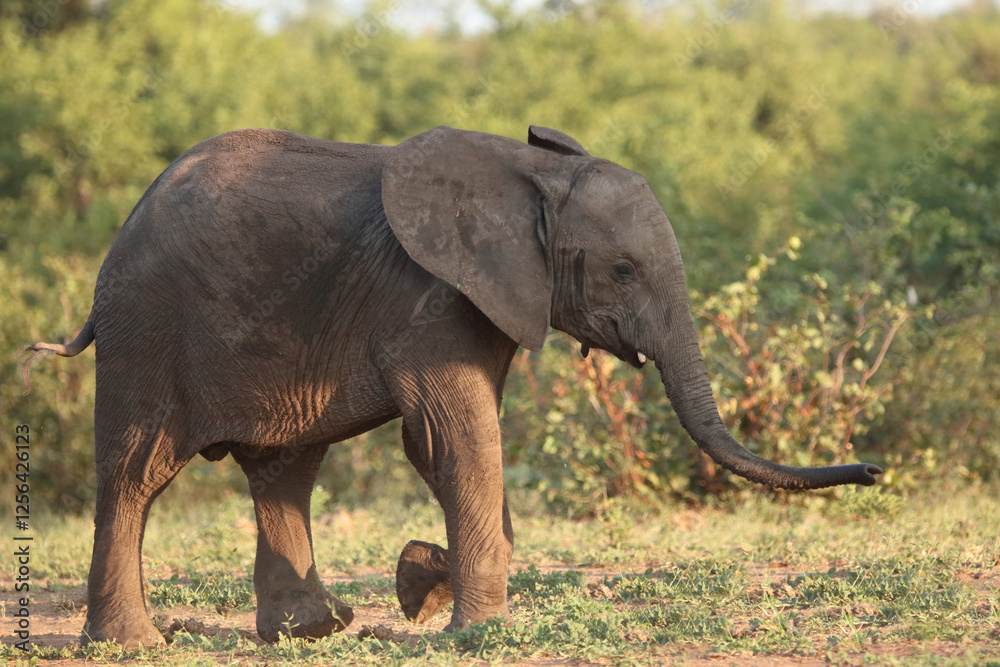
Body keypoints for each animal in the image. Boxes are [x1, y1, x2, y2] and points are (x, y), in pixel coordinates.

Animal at [21, 124, 882, 649]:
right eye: (622, 270)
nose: (874, 469)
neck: (531, 176)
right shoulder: (428, 295)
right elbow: (452, 437)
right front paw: (475, 626)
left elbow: (458, 441)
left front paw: (422, 583)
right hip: (146, 328)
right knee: (137, 471)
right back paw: (134, 642)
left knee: (286, 469)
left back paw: (313, 630)